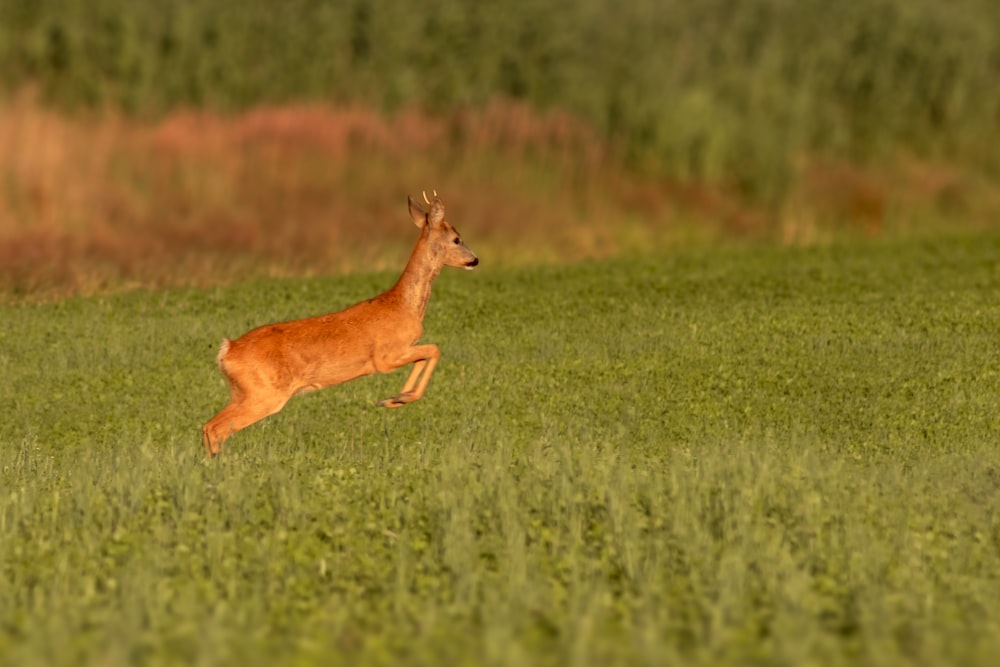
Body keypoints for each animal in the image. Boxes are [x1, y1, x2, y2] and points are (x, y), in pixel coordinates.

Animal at [201, 190, 478, 456]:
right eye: (457, 239)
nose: (475, 260)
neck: (403, 305)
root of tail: (227, 350)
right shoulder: (385, 358)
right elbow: (434, 349)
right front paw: (397, 398)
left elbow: (425, 355)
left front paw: (397, 398)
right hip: (264, 393)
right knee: (216, 428)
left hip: (242, 392)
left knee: (210, 426)